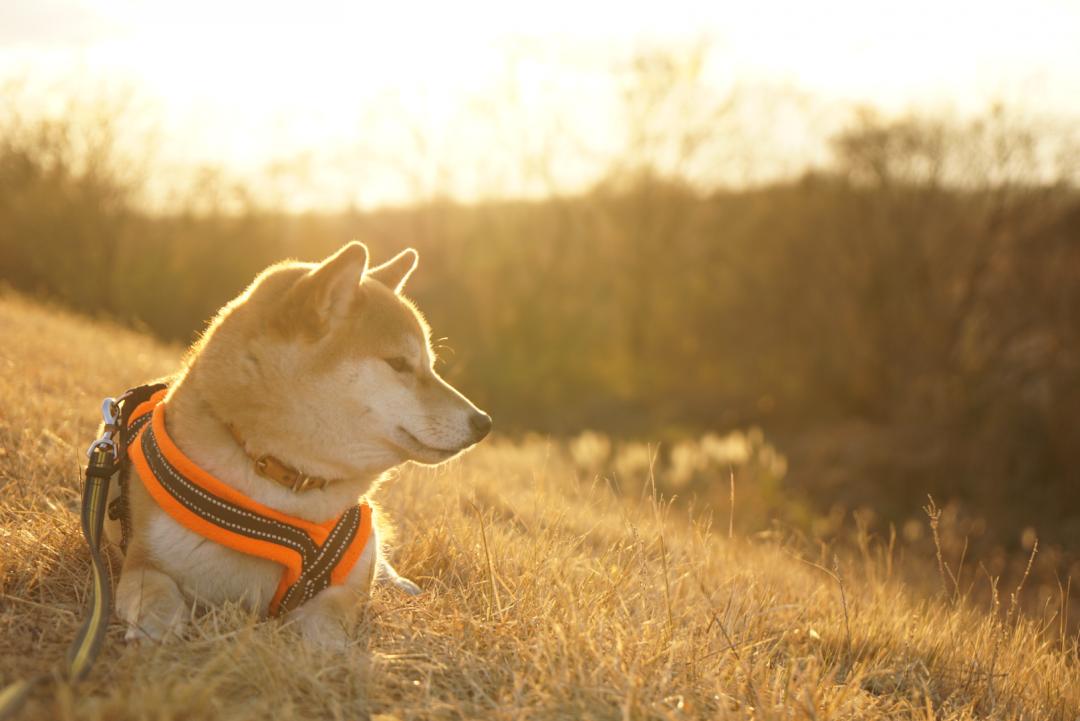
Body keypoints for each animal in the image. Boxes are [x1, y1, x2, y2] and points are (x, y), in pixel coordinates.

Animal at [103, 241, 492, 647]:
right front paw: (157, 626)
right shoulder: (144, 559)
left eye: (429, 366)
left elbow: (331, 621)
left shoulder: (346, 586)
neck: (288, 486)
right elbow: (155, 590)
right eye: (399, 364)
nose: (483, 422)